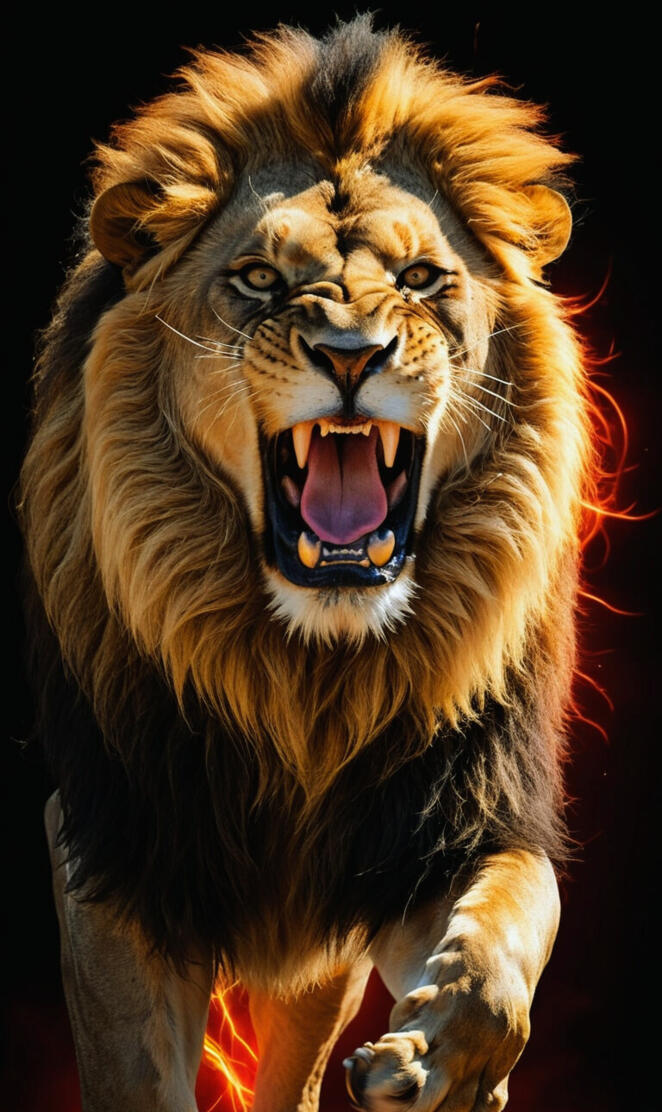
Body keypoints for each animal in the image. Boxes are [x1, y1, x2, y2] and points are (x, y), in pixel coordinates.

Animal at [19, 17, 592, 1112]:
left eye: (420, 281)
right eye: (258, 280)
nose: (352, 352)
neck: (306, 676)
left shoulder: (443, 821)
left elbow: (505, 949)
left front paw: (434, 1066)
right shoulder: (107, 857)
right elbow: (139, 1073)